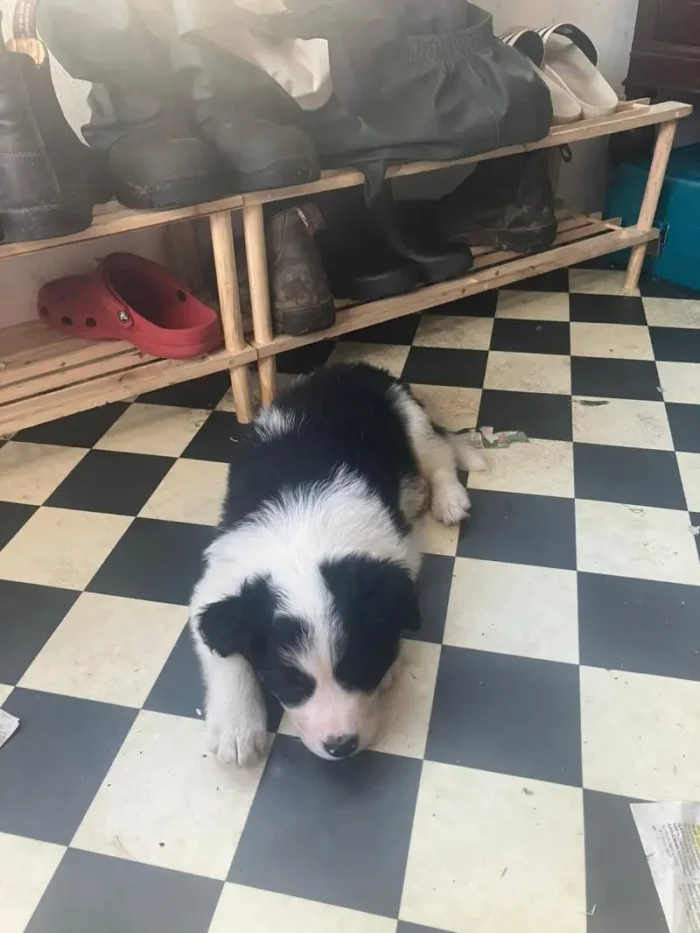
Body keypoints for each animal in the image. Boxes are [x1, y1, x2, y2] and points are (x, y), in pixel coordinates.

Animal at [187, 360, 482, 760]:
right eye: (291, 682)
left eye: (357, 668)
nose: (341, 747)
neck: (302, 544)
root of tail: (352, 368)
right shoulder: (217, 586)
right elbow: (223, 654)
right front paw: (237, 729)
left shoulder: (394, 552)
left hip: (409, 418)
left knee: (439, 456)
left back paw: (447, 499)